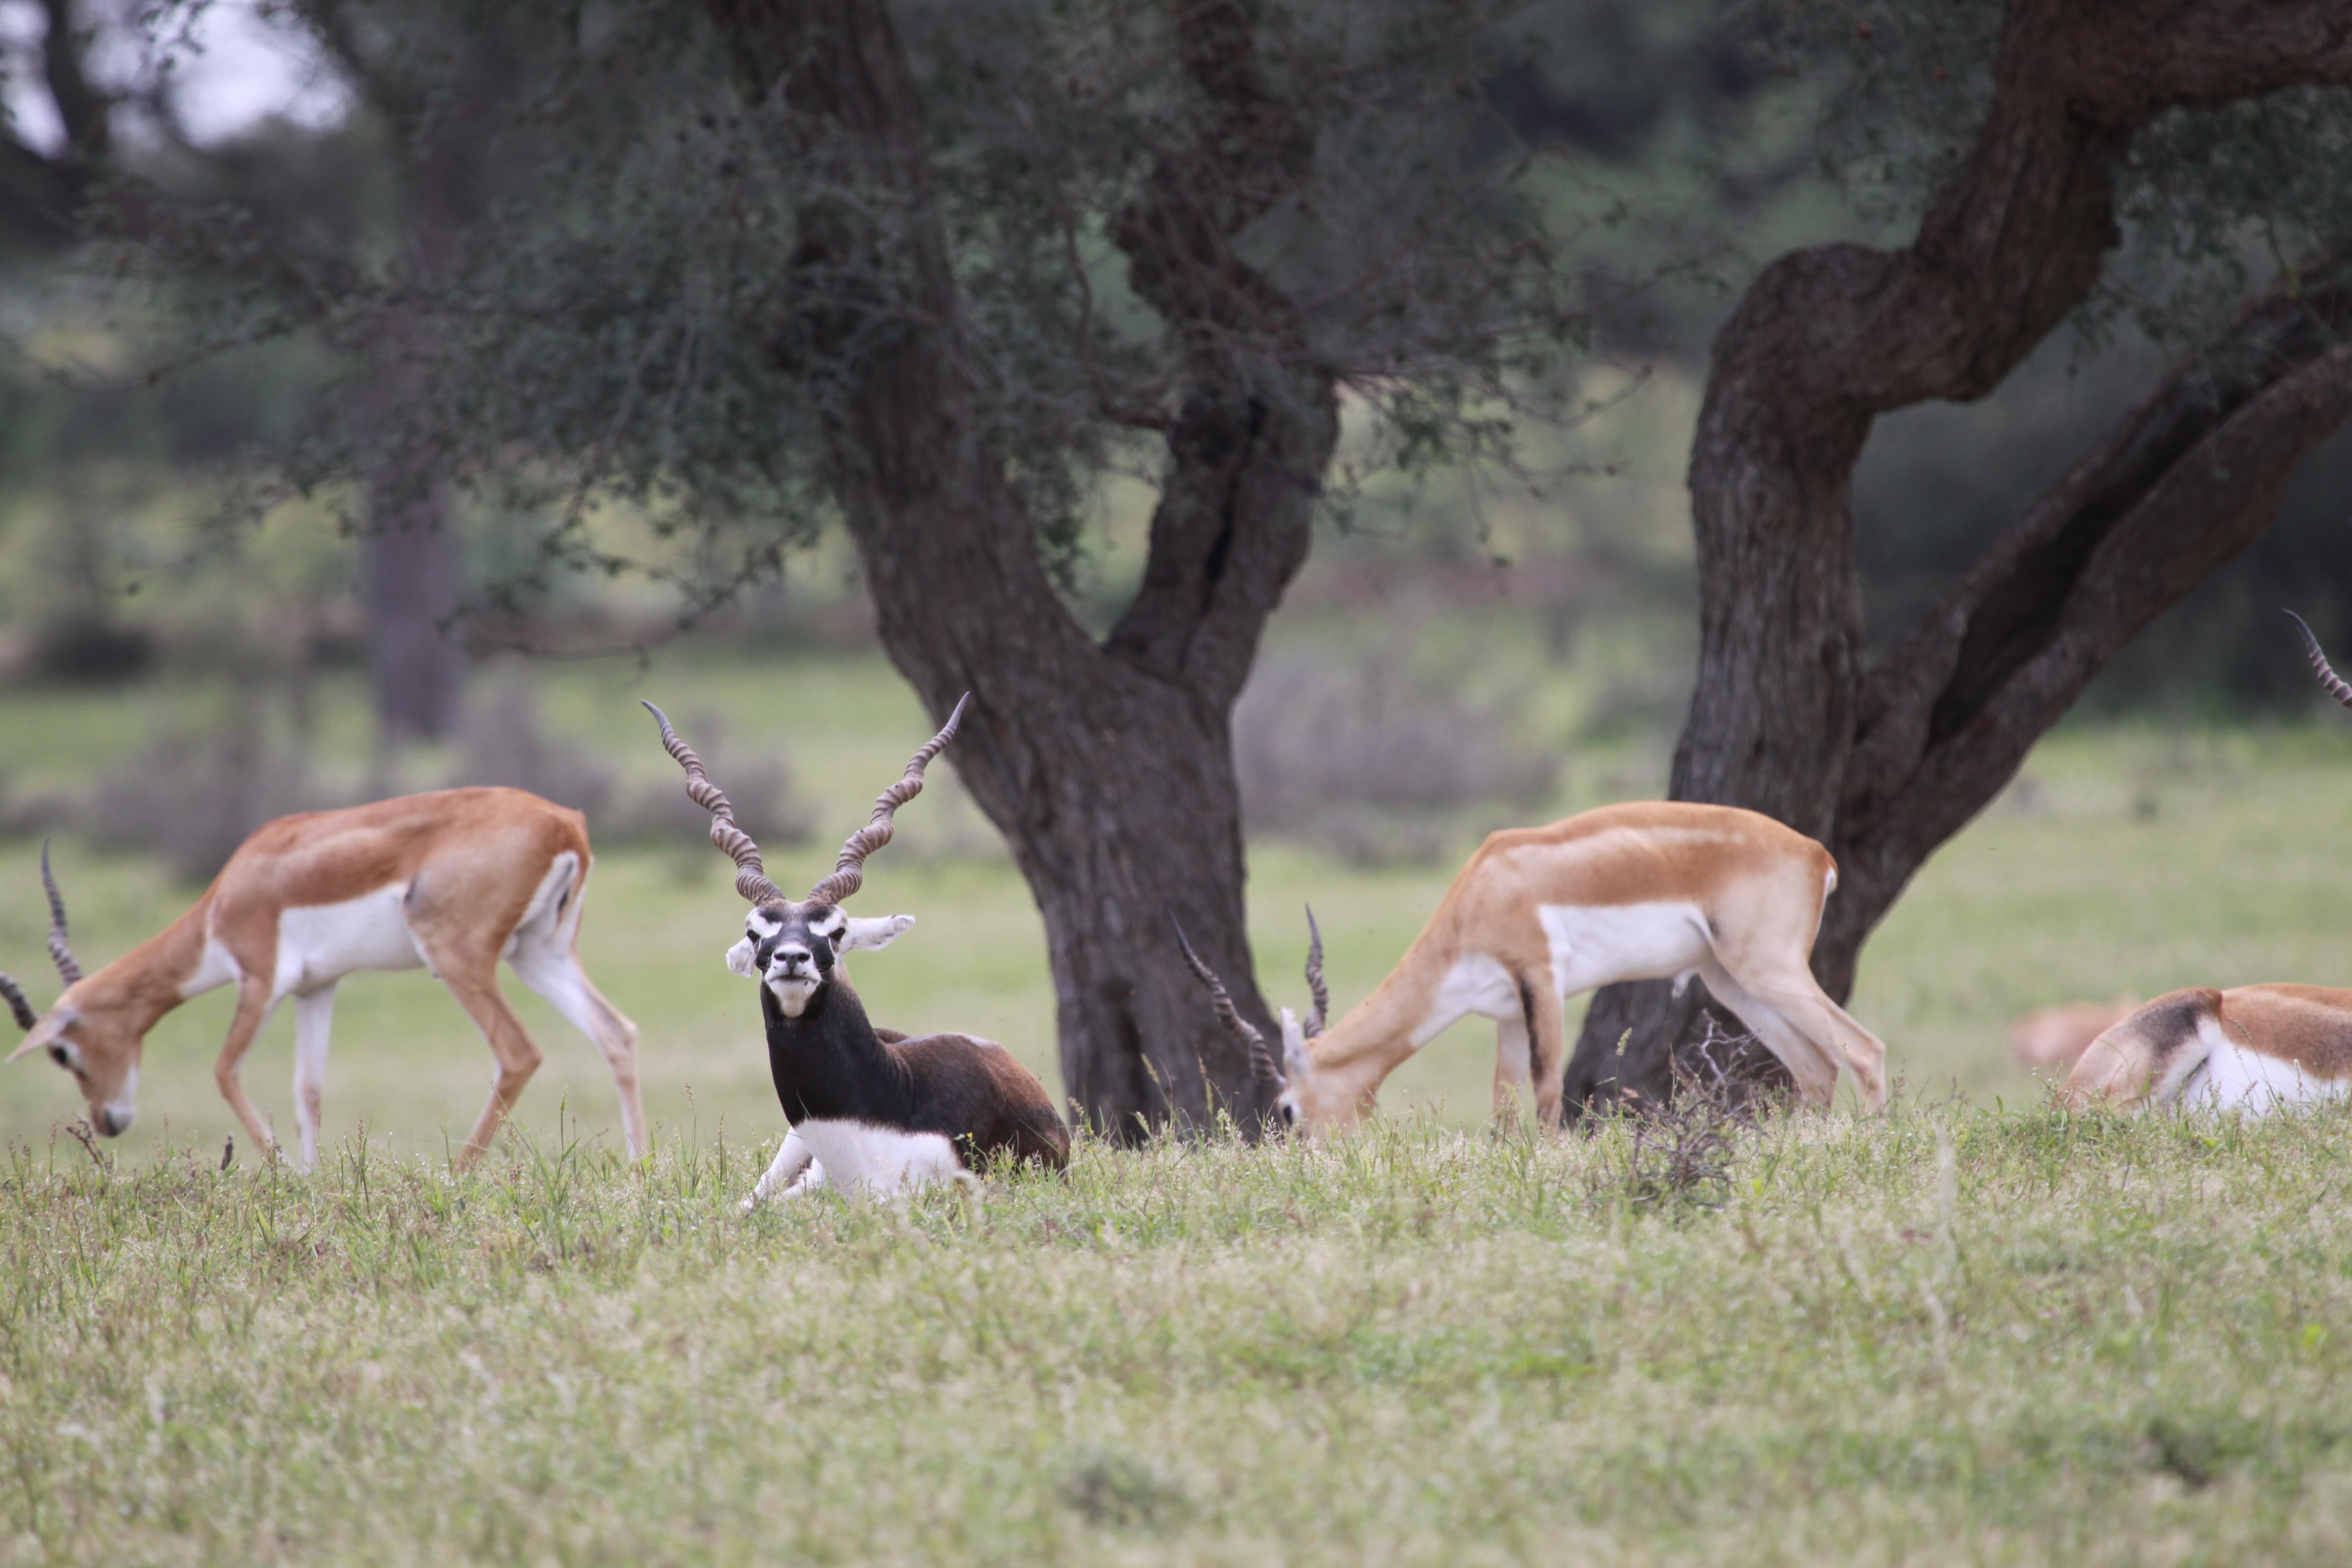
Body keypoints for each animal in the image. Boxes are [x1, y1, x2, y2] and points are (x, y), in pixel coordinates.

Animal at [0, 789, 644, 1171]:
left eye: (62, 1051)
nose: (108, 1122)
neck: (232, 892)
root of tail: (564, 824)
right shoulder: (318, 988)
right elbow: (307, 1088)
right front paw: (311, 1177)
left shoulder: (259, 979)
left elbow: (225, 1070)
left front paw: (283, 1174)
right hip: (539, 955)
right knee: (618, 1032)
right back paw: (639, 1168)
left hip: (459, 957)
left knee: (517, 1053)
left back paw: (456, 1174)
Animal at [654, 691, 1077, 1213]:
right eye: (755, 933)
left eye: (836, 931)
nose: (791, 959)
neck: (883, 1106)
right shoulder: (816, 1184)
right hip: (788, 1151)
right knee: (748, 1201)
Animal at [1176, 804, 1891, 1133]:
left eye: (1288, 1109)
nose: (1309, 1159)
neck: (1485, 888)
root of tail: (1816, 853)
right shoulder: (1504, 1015)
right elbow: (1503, 1106)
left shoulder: (1541, 980)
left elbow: (1547, 1095)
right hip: (1730, 980)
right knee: (1815, 1067)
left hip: (1767, 968)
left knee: (1863, 1048)